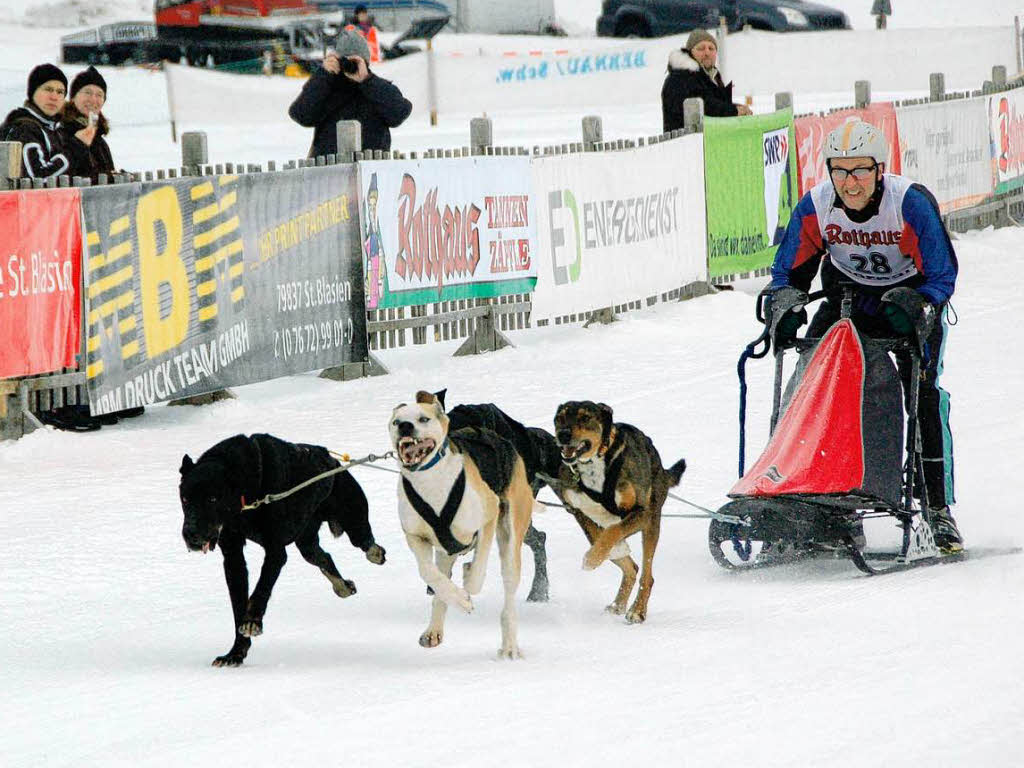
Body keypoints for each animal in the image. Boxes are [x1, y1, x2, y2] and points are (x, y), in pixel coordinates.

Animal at [178, 434, 385, 667]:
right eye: (185, 498)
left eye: (212, 499)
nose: (191, 534)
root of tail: (332, 460)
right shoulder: (233, 558)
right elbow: (239, 605)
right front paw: (236, 652)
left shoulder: (275, 552)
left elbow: (261, 589)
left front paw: (252, 621)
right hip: (307, 543)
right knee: (323, 557)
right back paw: (342, 586)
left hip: (354, 522)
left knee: (367, 544)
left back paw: (375, 554)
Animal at [389, 393, 536, 659]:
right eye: (396, 421)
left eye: (423, 419)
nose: (405, 426)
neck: (431, 484)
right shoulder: (415, 536)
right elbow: (429, 574)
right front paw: (459, 598)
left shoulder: (488, 517)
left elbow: (478, 572)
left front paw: (468, 585)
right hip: (445, 552)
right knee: (441, 582)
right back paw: (434, 628)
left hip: (510, 538)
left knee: (508, 593)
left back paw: (509, 645)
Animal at [557, 403, 684, 626]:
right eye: (560, 417)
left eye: (585, 417)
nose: (562, 434)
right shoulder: (577, 510)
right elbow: (601, 537)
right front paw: (608, 551)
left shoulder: (641, 513)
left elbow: (614, 531)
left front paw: (593, 557)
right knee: (632, 567)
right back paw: (618, 603)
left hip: (652, 524)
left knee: (647, 575)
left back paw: (637, 610)